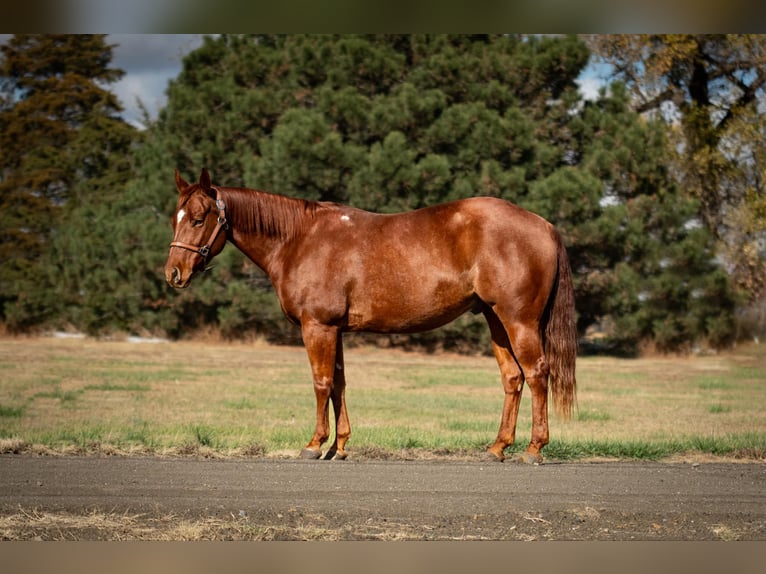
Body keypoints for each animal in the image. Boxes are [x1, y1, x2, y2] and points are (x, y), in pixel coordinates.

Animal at [166, 170, 576, 464]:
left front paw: (314, 445)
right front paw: (339, 446)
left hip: (518, 320)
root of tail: (543, 225)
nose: (173, 274)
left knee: (537, 374)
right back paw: (497, 448)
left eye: (199, 219)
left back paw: (534, 449)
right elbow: (338, 384)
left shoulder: (318, 327)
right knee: (512, 378)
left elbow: (320, 383)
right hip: (495, 319)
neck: (300, 239)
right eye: (176, 218)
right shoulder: (335, 330)